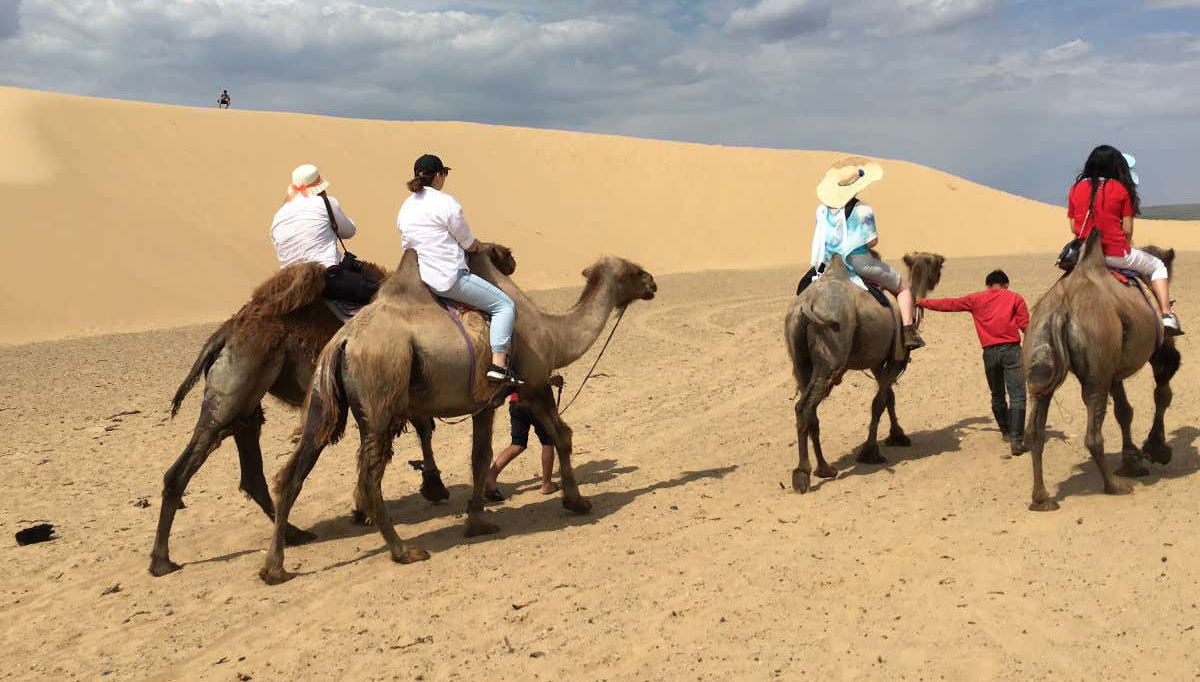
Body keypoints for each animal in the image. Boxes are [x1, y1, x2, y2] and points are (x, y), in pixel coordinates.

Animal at [148, 246, 518, 577]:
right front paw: (430, 488)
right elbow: (423, 428)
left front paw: (376, 504)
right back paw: (164, 560)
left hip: (244, 401)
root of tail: (227, 331)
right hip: (238, 391)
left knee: (244, 464)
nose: (511, 259)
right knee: (187, 468)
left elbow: (417, 430)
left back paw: (287, 537)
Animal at [258, 248, 657, 584]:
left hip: (322, 402)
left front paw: (478, 521)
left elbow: (480, 457)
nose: (652, 282)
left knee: (294, 472)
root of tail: (344, 341)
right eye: (631, 270)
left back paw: (274, 568)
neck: (552, 334)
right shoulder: (534, 385)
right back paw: (403, 551)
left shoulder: (486, 402)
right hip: (381, 395)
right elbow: (563, 435)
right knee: (369, 477)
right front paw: (577, 502)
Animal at [784, 251, 945, 493]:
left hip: (801, 360)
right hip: (831, 352)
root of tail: (806, 305)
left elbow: (889, 397)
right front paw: (871, 452)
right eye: (936, 263)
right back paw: (803, 474)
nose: (942, 261)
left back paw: (824, 468)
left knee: (809, 410)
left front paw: (897, 436)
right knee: (805, 406)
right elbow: (878, 402)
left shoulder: (877, 362)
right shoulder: (896, 358)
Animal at [1022, 229, 1180, 511]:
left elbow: (1124, 411)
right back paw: (1114, 486)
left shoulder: (1112, 367)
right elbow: (1163, 390)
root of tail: (1060, 310)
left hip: (1040, 358)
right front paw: (1157, 450)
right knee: (1093, 434)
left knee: (1036, 428)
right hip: (1096, 370)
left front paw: (1132, 461)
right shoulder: (1160, 350)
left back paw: (1041, 499)